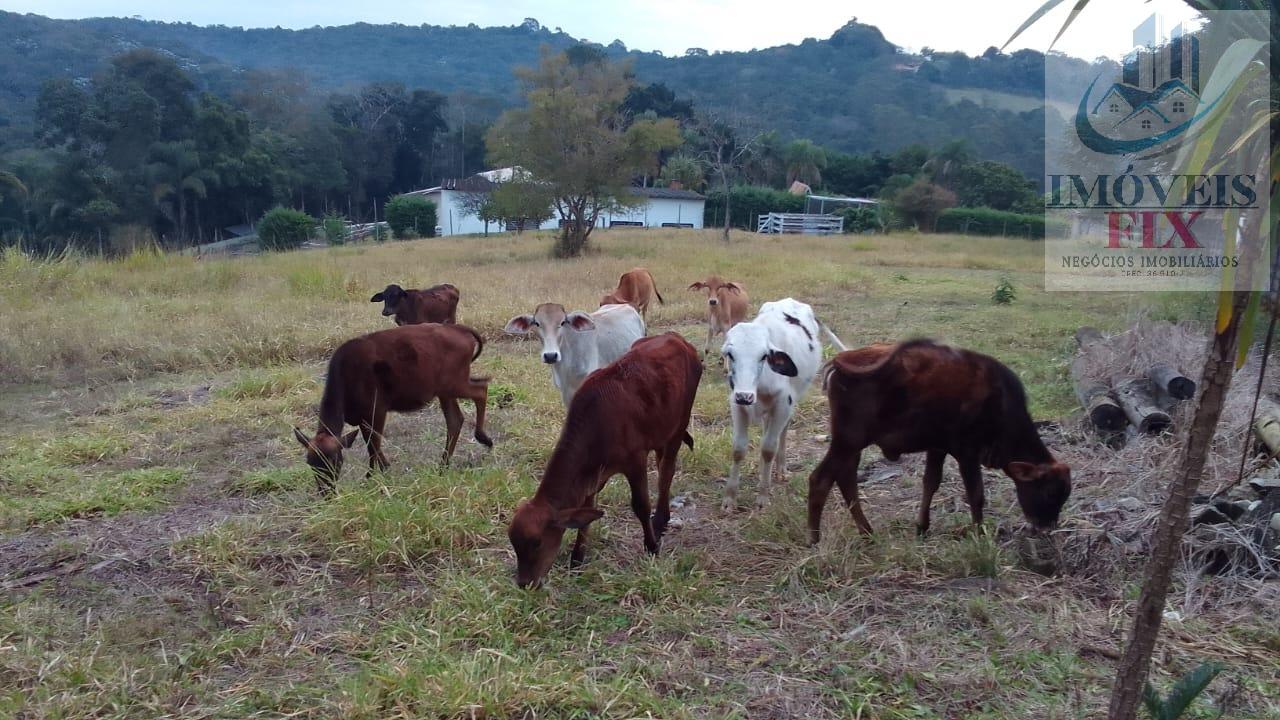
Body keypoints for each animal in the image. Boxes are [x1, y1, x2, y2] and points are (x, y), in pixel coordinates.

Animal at [293, 320, 491, 491]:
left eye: (335, 461)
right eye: (310, 463)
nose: (326, 491)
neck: (346, 375)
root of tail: (459, 329)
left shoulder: (377, 410)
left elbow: (374, 444)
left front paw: (378, 474)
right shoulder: (362, 418)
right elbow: (371, 444)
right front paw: (375, 474)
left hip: (454, 384)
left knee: (481, 389)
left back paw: (483, 438)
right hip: (445, 391)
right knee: (455, 419)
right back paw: (443, 465)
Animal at [504, 330, 701, 584]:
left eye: (536, 543)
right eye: (514, 544)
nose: (524, 583)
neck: (597, 422)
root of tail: (675, 337)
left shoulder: (635, 461)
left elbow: (641, 505)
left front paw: (651, 547)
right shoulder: (592, 475)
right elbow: (587, 513)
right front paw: (577, 558)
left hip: (679, 425)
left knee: (666, 472)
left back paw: (658, 521)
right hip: (662, 431)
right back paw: (663, 517)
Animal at [716, 297, 824, 509]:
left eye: (764, 356)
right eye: (730, 354)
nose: (745, 396)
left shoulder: (783, 404)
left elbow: (768, 449)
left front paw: (763, 496)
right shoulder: (736, 405)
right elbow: (738, 449)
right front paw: (730, 498)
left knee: (781, 433)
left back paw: (780, 469)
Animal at [808, 338, 1070, 540]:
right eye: (1050, 492)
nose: (1045, 529)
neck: (1000, 403)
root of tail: (842, 360)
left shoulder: (937, 448)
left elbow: (931, 483)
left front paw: (922, 527)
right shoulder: (967, 453)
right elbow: (976, 494)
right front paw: (980, 534)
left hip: (852, 446)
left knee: (845, 478)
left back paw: (867, 532)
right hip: (848, 442)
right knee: (820, 479)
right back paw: (814, 539)